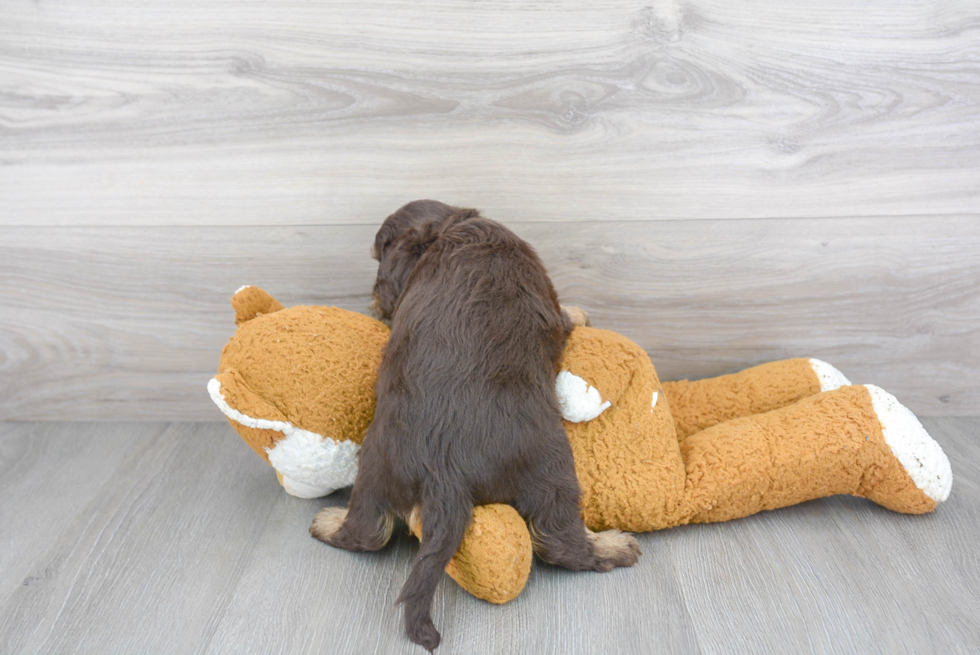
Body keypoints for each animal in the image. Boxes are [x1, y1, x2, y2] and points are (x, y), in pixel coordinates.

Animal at [310, 200, 640, 652]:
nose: (374, 300)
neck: (451, 230)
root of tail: (442, 471)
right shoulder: (549, 301)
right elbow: (565, 315)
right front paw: (582, 312)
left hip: (375, 467)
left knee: (366, 532)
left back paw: (328, 523)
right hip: (552, 468)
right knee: (560, 542)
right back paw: (612, 547)